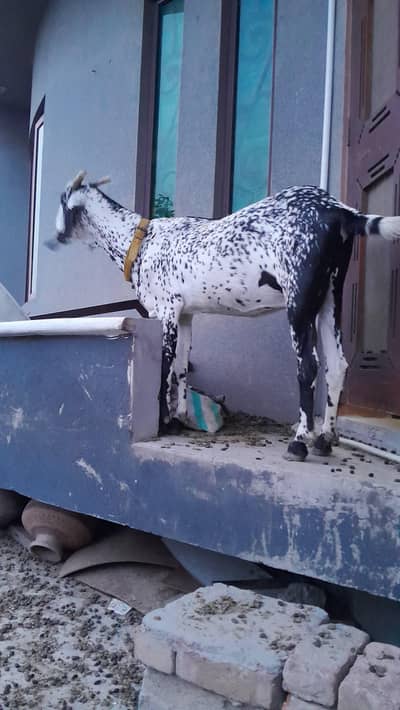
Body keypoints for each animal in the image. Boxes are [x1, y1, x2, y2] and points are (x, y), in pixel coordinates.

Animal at [51, 171, 400, 461]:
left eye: (62, 200)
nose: (54, 238)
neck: (142, 242)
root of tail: (338, 211)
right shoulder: (185, 315)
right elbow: (181, 368)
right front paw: (179, 419)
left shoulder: (165, 312)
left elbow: (165, 368)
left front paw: (164, 422)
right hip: (330, 296)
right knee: (338, 365)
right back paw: (325, 439)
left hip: (299, 301)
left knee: (309, 367)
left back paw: (300, 441)